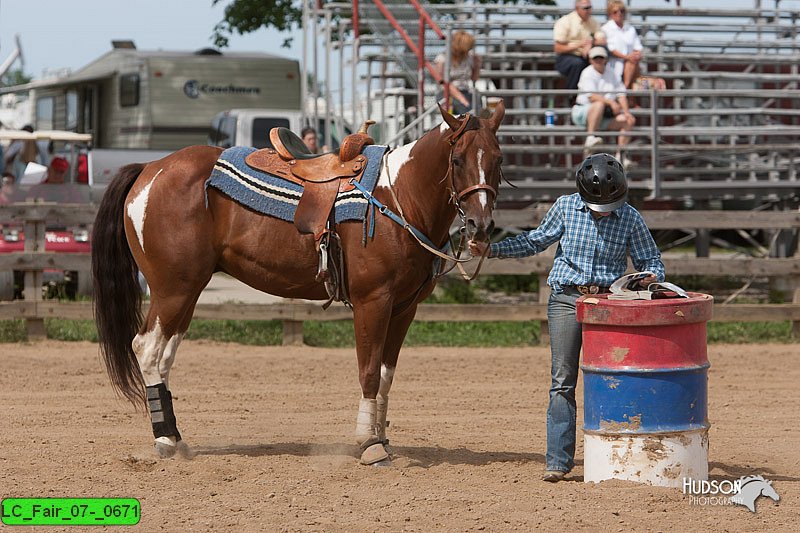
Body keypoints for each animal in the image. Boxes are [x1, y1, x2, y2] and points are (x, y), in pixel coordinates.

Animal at [92, 102, 506, 464]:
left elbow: (387, 376)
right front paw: (369, 444)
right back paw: (164, 441)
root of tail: (150, 169)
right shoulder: (373, 301)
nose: (480, 227)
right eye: (457, 160)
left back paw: (176, 439)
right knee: (146, 349)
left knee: (165, 355)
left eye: (498, 159)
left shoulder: (405, 308)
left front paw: (383, 438)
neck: (397, 197)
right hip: (172, 290)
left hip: (187, 292)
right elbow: (369, 371)